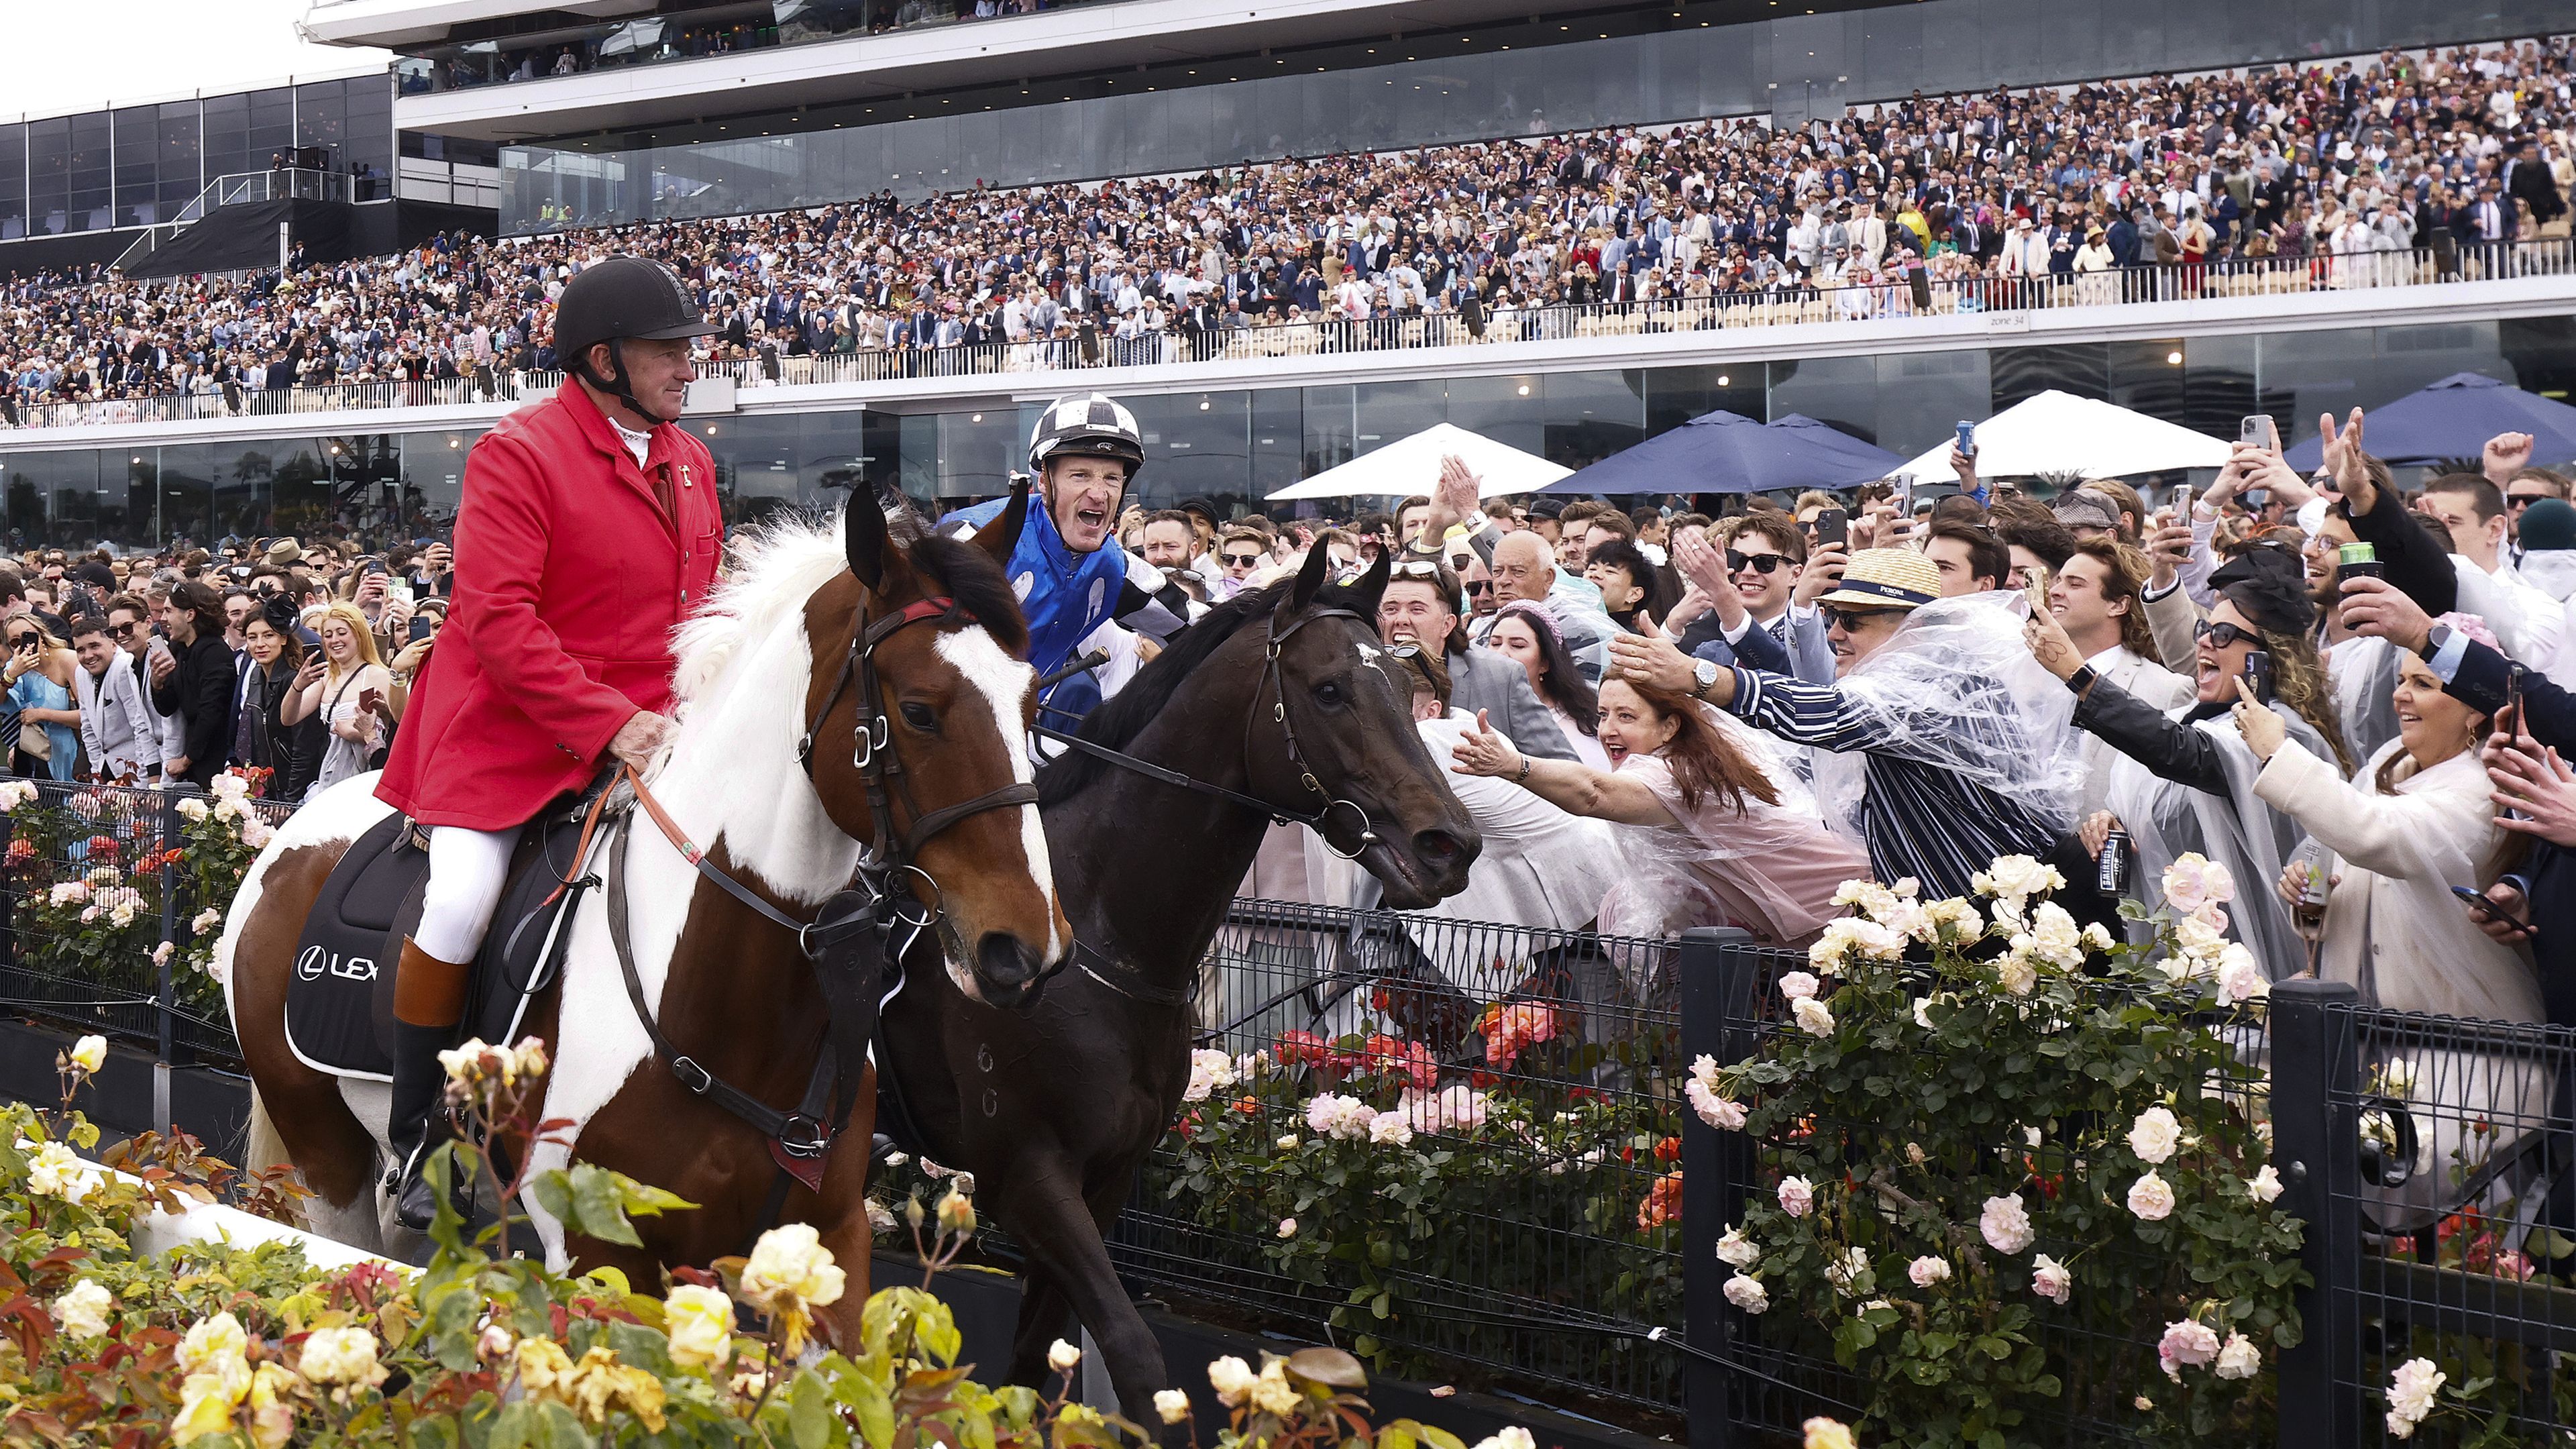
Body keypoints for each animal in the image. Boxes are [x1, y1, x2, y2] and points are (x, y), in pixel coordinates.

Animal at [219, 484, 1066, 1330]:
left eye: (1032, 702)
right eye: (920, 711)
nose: (1024, 951)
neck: (725, 998)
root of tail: (291, 829)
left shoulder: (828, 1237)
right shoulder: (605, 1256)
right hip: (325, 1149)